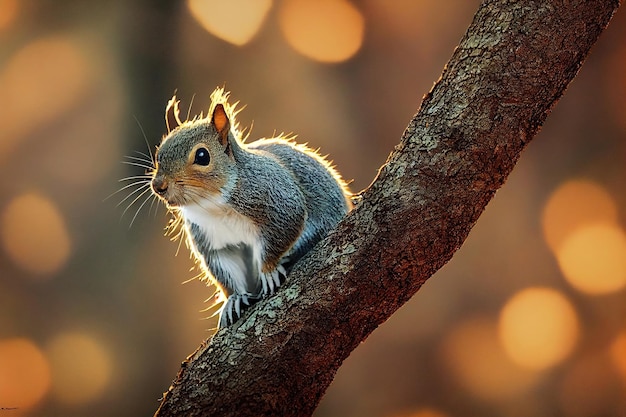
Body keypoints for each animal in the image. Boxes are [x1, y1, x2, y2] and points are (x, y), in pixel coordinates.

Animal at [148, 88, 348, 328]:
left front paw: (268, 270)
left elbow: (285, 228)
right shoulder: (214, 242)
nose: (158, 186)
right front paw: (234, 299)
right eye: (159, 153)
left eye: (202, 156)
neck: (213, 205)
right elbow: (226, 270)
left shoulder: (278, 200)